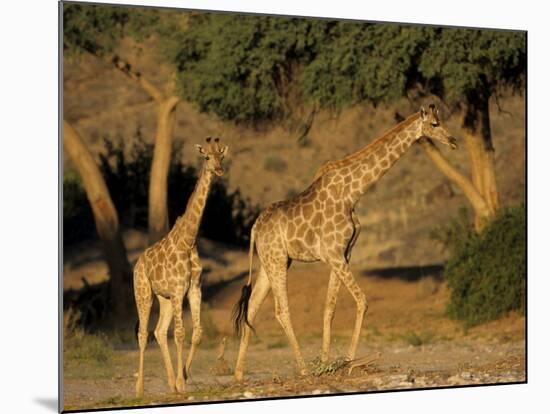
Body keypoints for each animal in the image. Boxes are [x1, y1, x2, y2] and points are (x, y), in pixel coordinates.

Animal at [135, 137, 230, 396]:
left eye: (221, 155)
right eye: (206, 157)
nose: (219, 170)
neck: (188, 241)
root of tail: (136, 263)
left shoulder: (194, 288)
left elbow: (196, 333)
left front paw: (183, 378)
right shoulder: (179, 290)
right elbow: (180, 334)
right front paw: (181, 381)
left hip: (164, 298)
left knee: (159, 331)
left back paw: (170, 383)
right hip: (143, 292)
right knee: (143, 333)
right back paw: (139, 389)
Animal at [232, 105, 458, 380]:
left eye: (441, 121)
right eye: (435, 124)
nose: (453, 141)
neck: (353, 193)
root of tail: (255, 227)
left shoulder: (343, 254)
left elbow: (329, 308)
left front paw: (327, 362)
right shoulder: (334, 253)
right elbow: (362, 301)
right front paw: (350, 361)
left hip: (272, 262)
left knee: (251, 307)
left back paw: (239, 375)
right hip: (275, 260)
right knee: (281, 310)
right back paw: (303, 369)